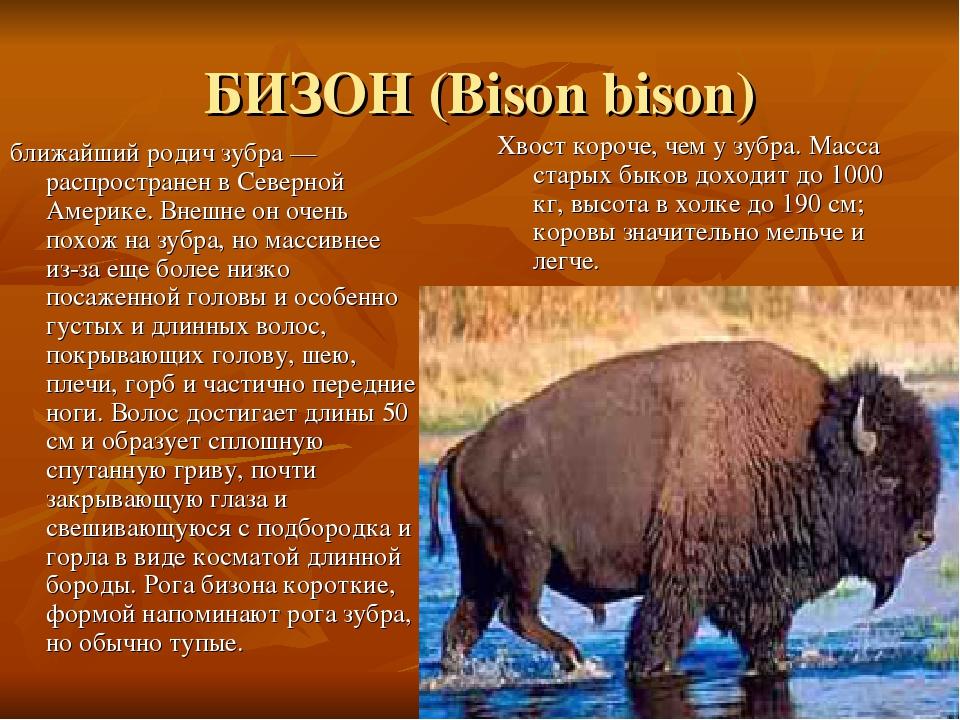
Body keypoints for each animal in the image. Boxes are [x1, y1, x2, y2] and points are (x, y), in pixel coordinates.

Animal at [428, 341, 940, 680]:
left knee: (463, 626)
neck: (804, 447)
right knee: (516, 613)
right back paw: (574, 658)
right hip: (525, 557)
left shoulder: (759, 589)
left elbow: (766, 637)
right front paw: (646, 669)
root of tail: (465, 447)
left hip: (481, 568)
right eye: (887, 476)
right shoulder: (681, 580)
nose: (924, 536)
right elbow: (658, 634)